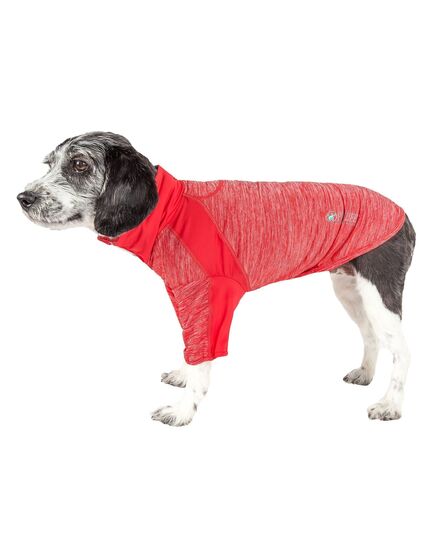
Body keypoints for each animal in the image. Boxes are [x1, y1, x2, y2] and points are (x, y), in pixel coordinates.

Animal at [17, 131, 416, 426]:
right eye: (49, 164)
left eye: (79, 164)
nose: (23, 197)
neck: (170, 212)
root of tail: (404, 215)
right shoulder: (186, 297)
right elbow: (191, 346)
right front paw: (182, 375)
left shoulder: (210, 299)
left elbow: (203, 356)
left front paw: (182, 410)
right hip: (350, 289)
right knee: (370, 336)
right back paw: (365, 373)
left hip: (380, 293)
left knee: (402, 350)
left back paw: (391, 404)